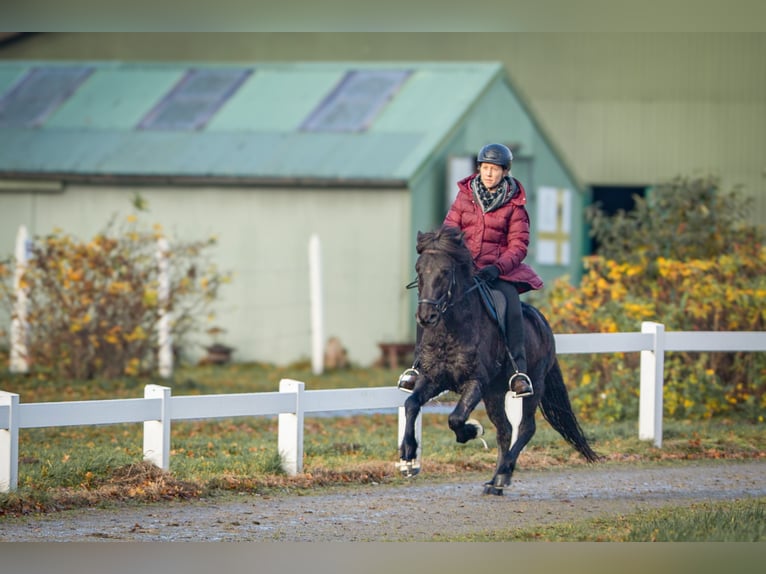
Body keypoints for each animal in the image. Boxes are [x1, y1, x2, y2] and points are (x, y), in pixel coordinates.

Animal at [398, 225, 600, 495]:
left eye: (445, 271)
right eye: (419, 269)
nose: (426, 316)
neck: (452, 327)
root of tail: (542, 322)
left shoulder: (476, 382)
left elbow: (456, 418)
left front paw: (471, 430)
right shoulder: (434, 379)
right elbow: (411, 404)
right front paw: (408, 455)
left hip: (532, 386)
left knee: (525, 428)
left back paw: (504, 472)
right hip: (494, 393)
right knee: (505, 431)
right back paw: (495, 482)